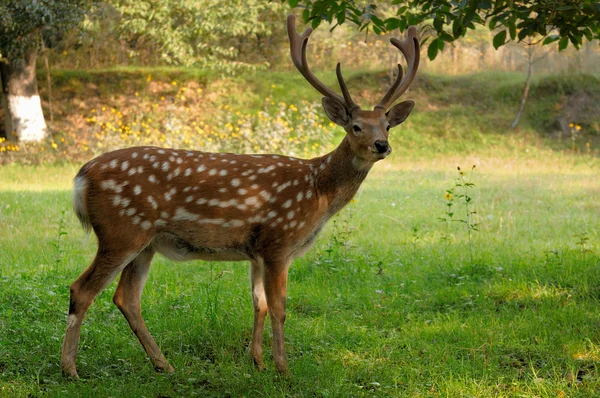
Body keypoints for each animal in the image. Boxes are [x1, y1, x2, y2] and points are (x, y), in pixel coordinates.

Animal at [59, 14, 418, 378]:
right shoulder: (278, 241)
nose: (382, 145)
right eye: (356, 126)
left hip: (145, 243)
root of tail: (81, 176)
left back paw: (164, 364)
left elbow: (259, 304)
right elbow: (279, 308)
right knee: (82, 288)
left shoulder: (256, 252)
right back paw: (70, 369)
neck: (317, 191)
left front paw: (257, 361)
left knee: (126, 297)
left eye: (387, 125)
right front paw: (283, 368)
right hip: (120, 231)